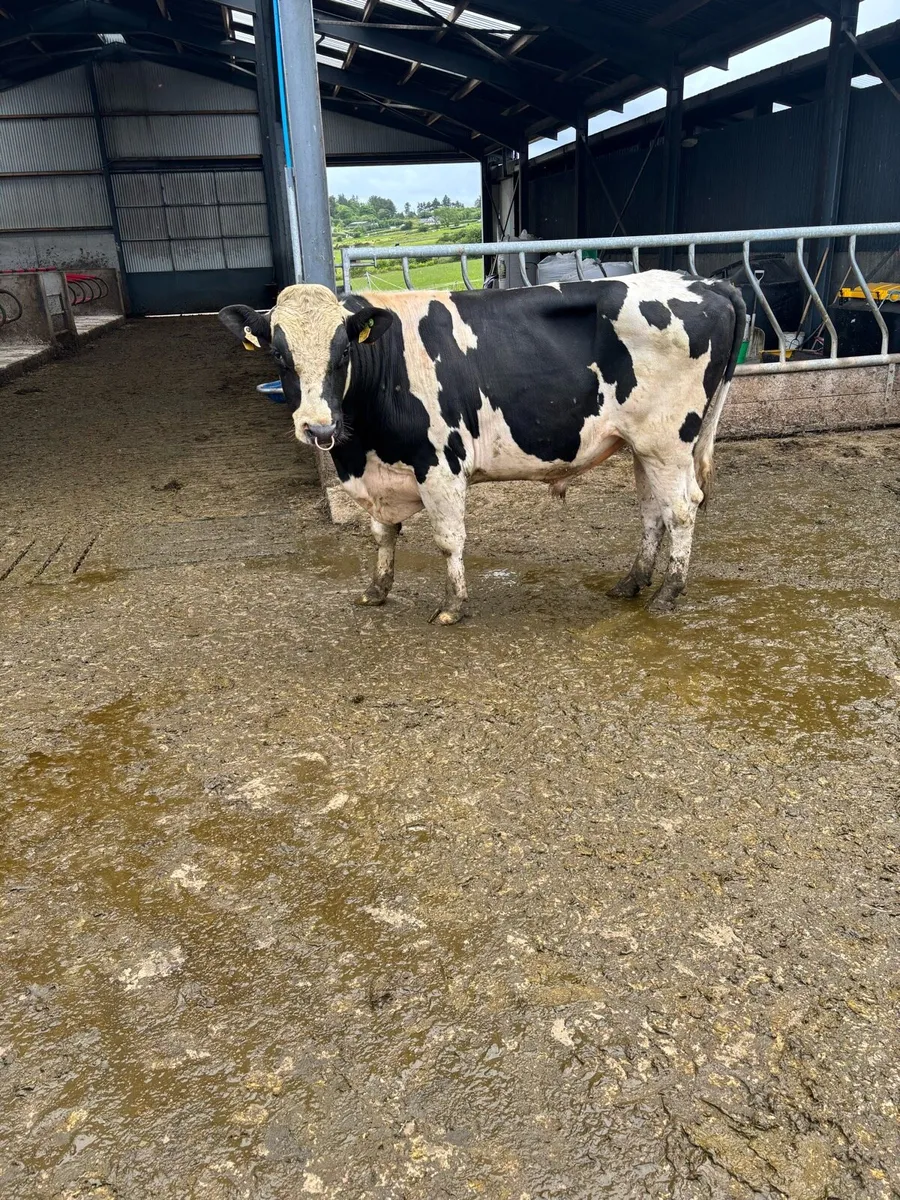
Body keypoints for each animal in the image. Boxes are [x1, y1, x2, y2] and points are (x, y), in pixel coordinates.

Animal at [219, 271, 745, 624]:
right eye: (278, 354)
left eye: (343, 351)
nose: (317, 426)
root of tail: (705, 282)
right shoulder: (378, 473)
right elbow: (382, 535)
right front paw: (376, 589)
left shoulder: (439, 464)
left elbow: (447, 538)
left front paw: (453, 606)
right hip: (642, 446)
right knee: (653, 511)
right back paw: (633, 581)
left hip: (668, 440)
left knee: (683, 508)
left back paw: (668, 594)